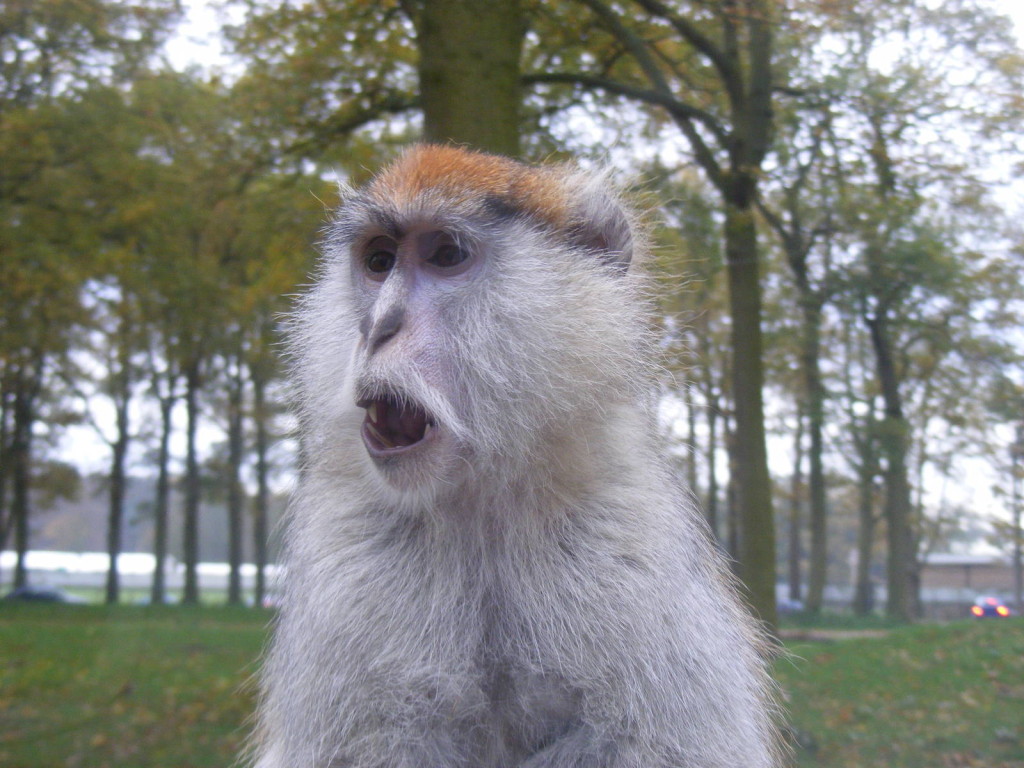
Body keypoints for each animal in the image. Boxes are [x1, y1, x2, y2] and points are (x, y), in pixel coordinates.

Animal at [249, 145, 783, 768]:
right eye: (378, 261)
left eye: (446, 255)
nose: (376, 326)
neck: (484, 499)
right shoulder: (352, 548)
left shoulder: (624, 534)